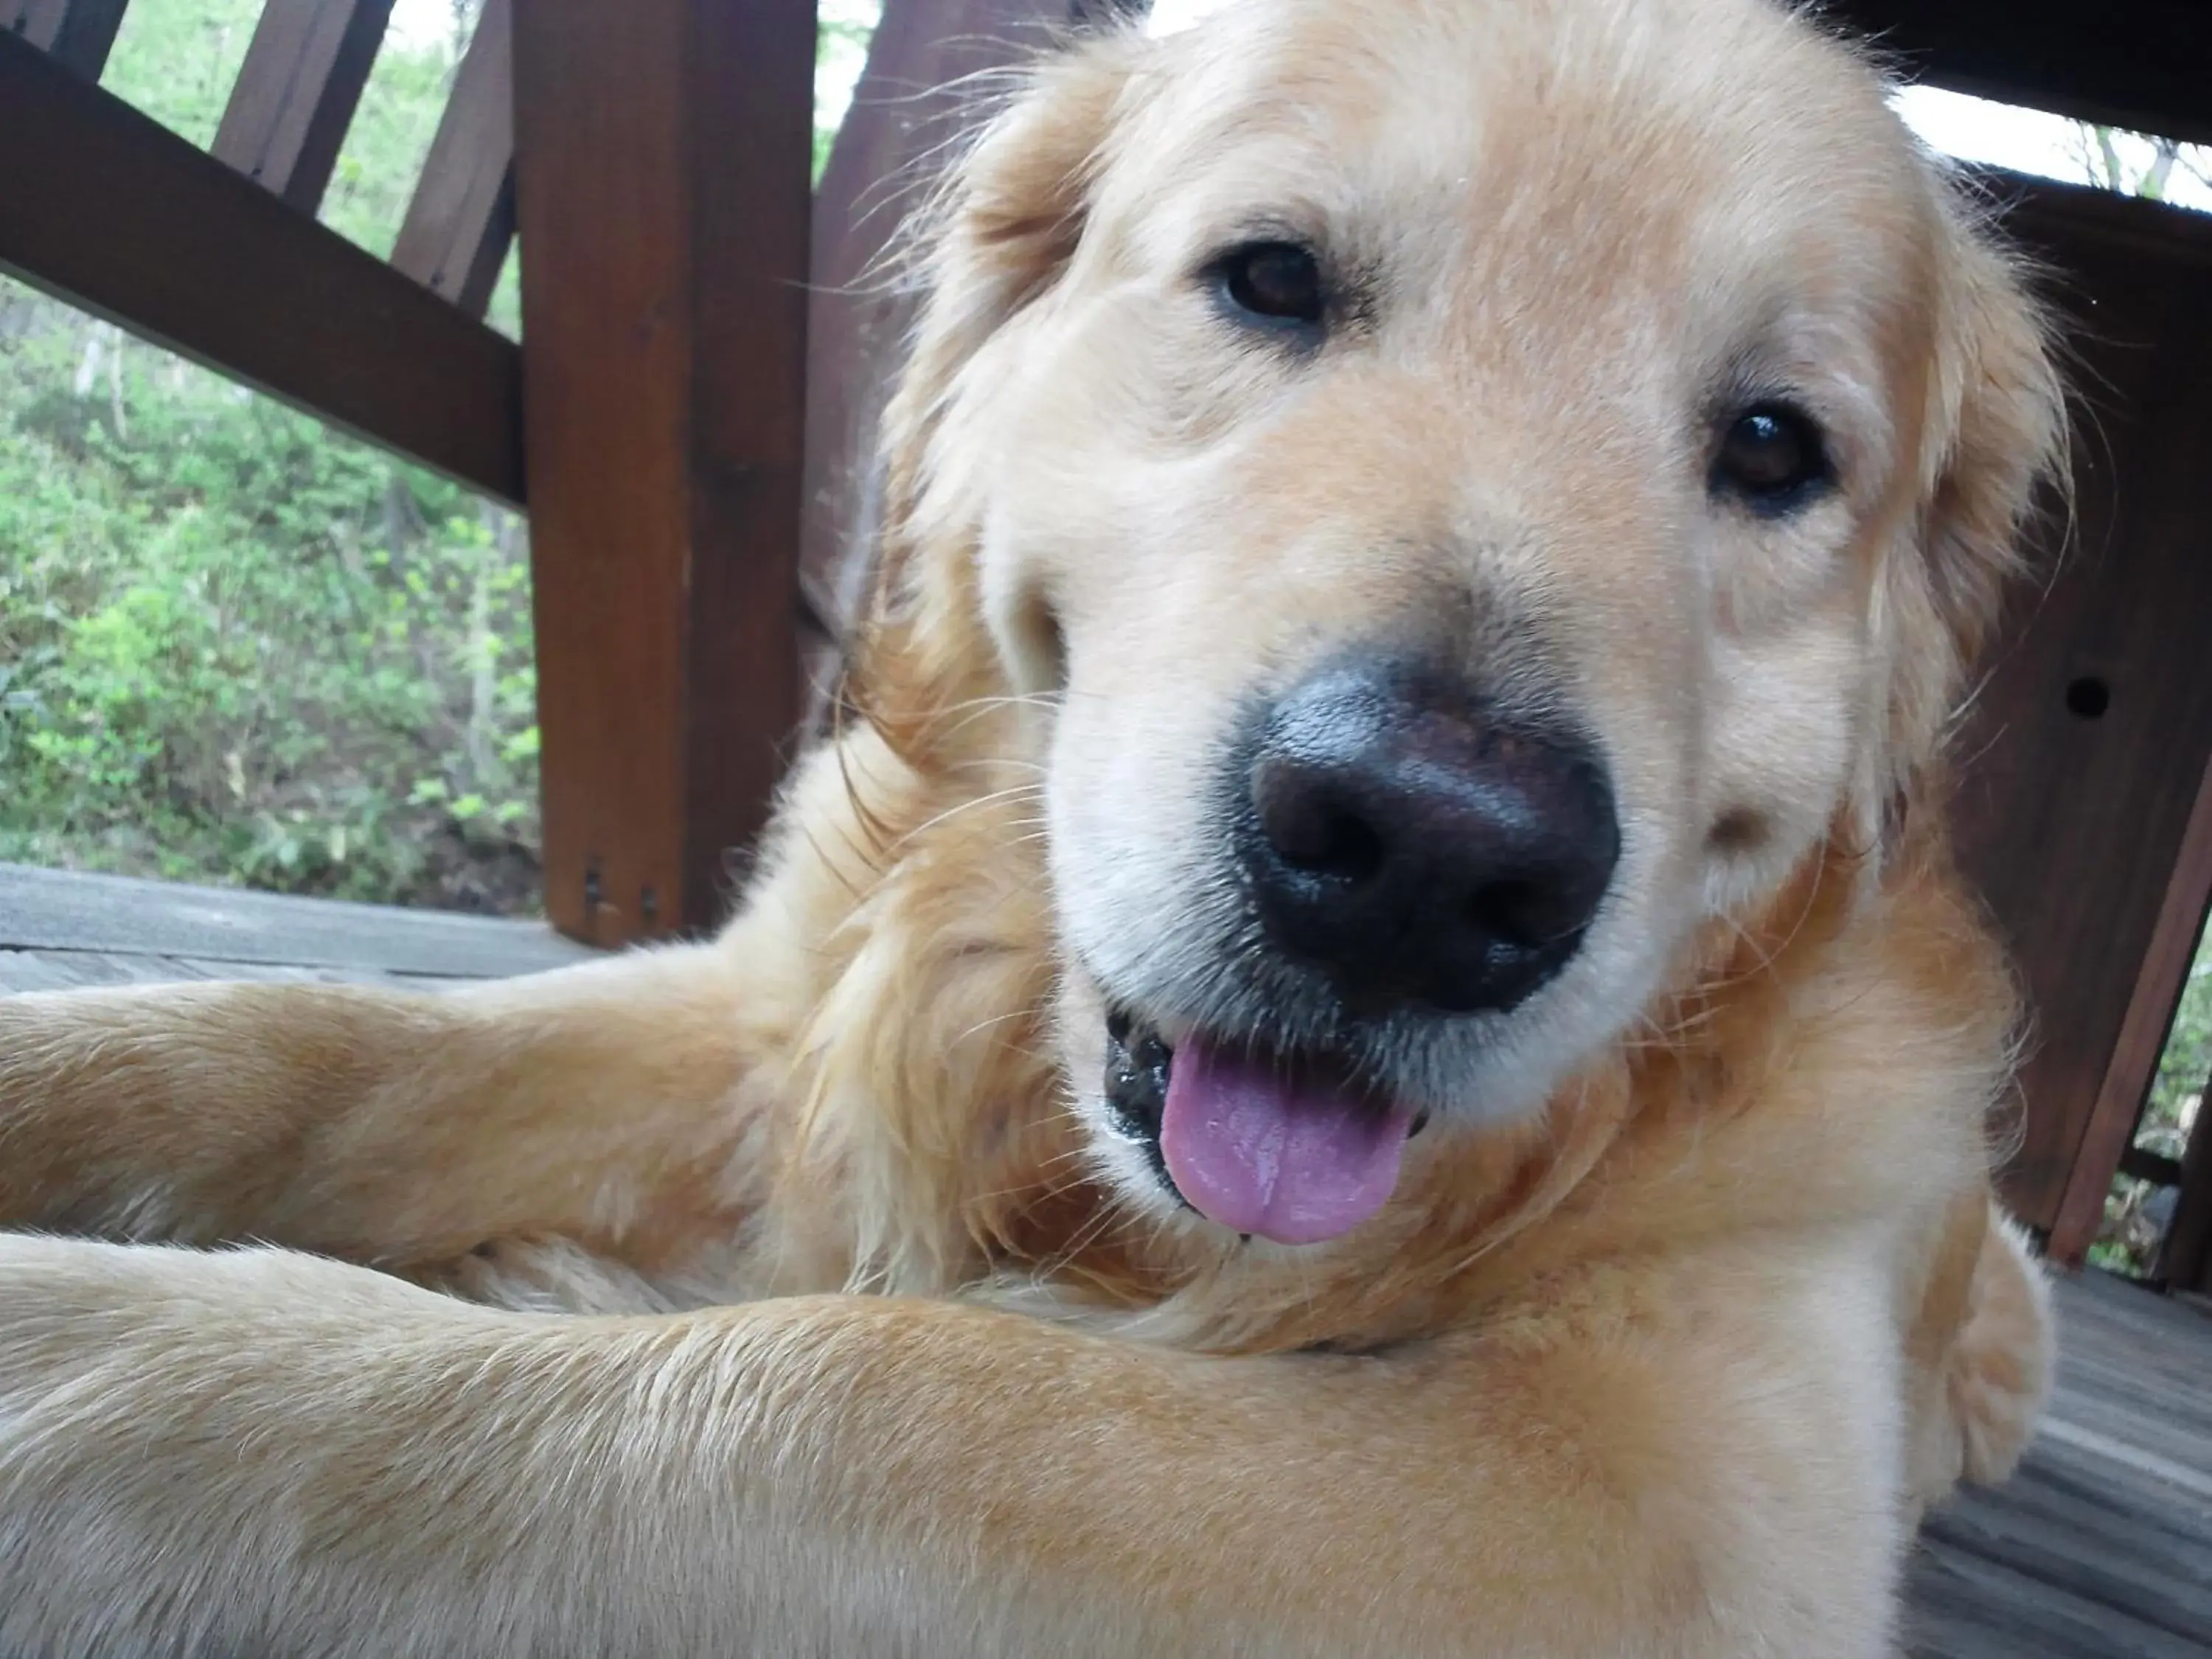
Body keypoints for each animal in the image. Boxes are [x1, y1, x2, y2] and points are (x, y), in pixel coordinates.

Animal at [0, 0, 2053, 1655]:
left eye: (1774, 447)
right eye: (1271, 278)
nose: (1425, 855)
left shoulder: (1675, 1501)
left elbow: (897, 1387)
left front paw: (110, 1352)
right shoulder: (763, 1016)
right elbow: (306, 1042)